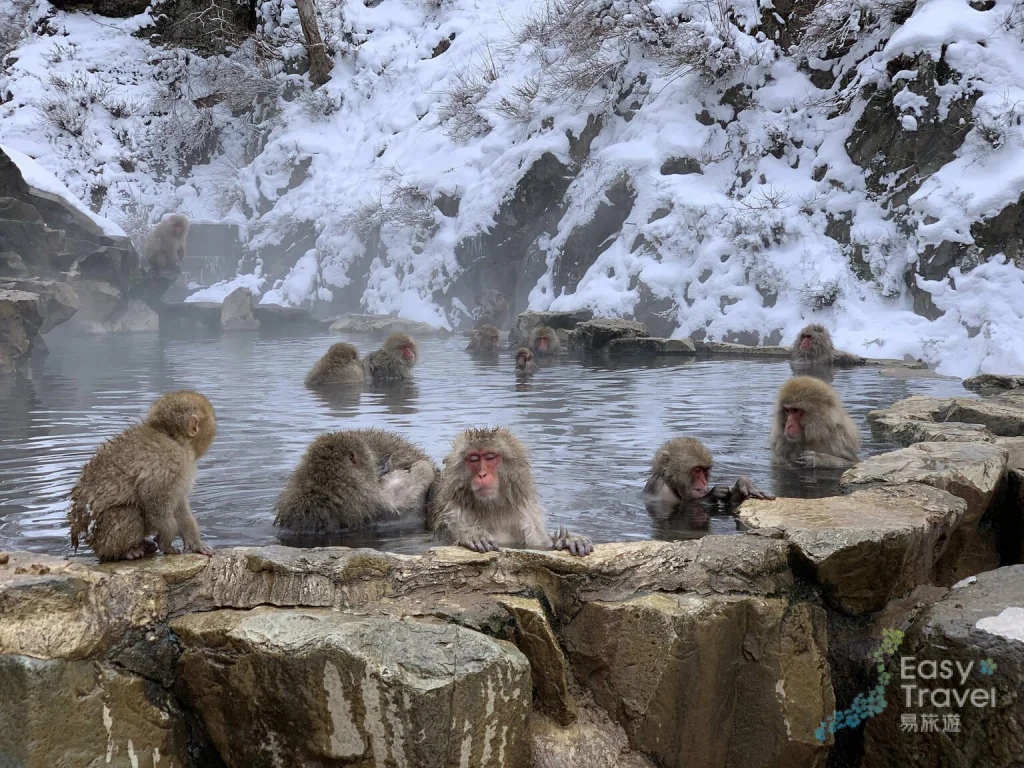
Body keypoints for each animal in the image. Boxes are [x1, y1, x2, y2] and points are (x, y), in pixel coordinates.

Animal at [68, 390, 215, 562]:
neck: (172, 437)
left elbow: (178, 505)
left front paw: (195, 543)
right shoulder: (171, 462)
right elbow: (153, 499)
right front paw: (167, 539)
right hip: (102, 536)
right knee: (129, 512)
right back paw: (125, 552)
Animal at [430, 427, 593, 555]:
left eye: (490, 457)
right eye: (474, 459)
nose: (482, 474)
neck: (492, 510)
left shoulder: (529, 518)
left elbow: (540, 545)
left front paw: (569, 540)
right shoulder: (453, 515)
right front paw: (472, 536)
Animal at [643, 437, 775, 514]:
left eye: (704, 470)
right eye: (697, 470)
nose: (703, 482)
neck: (671, 483)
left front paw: (741, 486)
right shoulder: (662, 491)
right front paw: (714, 493)